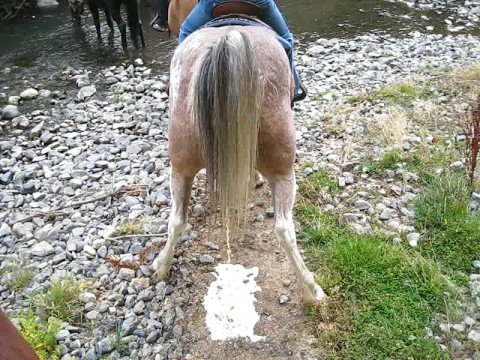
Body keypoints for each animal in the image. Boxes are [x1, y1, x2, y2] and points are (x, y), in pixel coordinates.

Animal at [153, 8, 326, 302]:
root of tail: (229, 40)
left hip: (180, 167)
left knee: (176, 220)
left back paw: (161, 266)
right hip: (283, 171)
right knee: (284, 229)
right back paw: (312, 289)